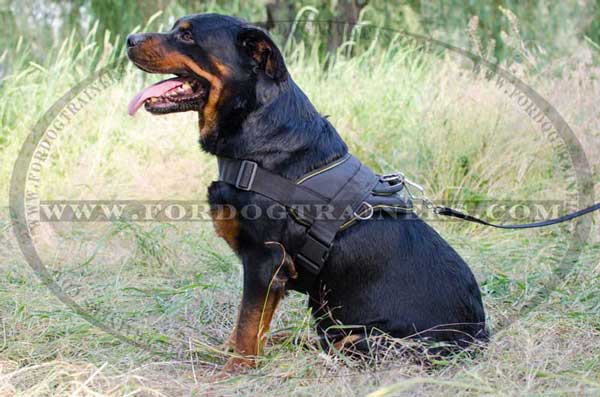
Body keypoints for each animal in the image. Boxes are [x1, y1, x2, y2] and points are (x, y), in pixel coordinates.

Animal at [126, 13, 488, 372]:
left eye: (187, 37)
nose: (130, 39)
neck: (258, 138)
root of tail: (479, 339)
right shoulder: (273, 270)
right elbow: (254, 321)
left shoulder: (265, 259)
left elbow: (248, 322)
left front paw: (236, 369)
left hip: (365, 338)